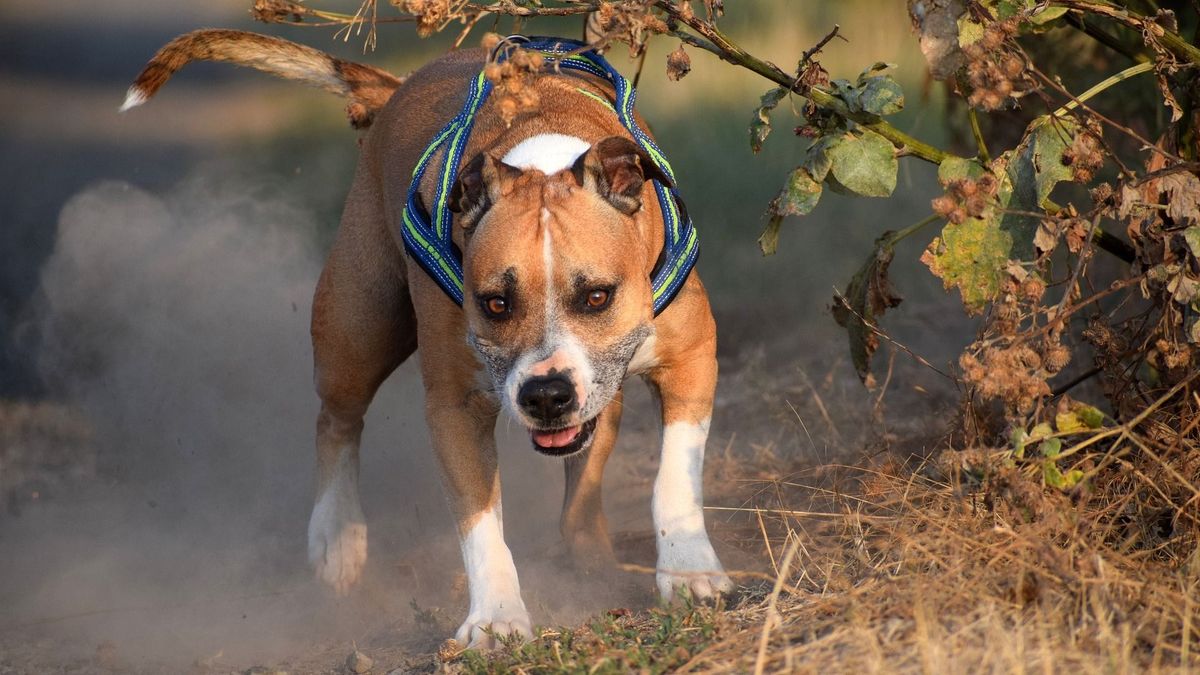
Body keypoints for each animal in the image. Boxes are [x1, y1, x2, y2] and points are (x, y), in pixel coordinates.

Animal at [129, 28, 729, 643]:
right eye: (494, 303)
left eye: (597, 297)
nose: (545, 395)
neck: (540, 155)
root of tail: (400, 86)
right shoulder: (454, 407)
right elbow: (479, 522)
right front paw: (496, 617)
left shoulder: (691, 358)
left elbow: (674, 478)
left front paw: (688, 571)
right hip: (357, 330)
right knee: (337, 420)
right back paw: (337, 536)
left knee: (585, 475)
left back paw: (590, 557)